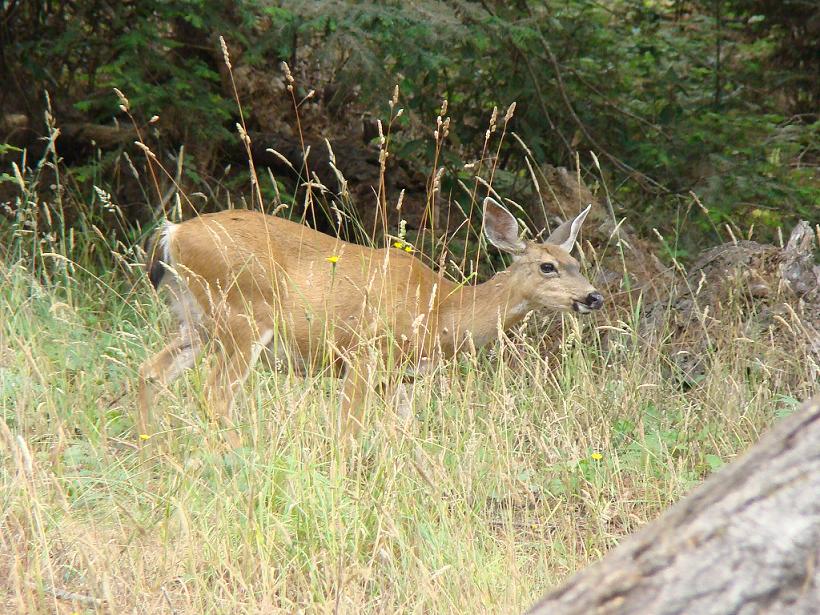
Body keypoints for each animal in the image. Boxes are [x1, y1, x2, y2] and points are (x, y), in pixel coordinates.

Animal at [137, 197, 603, 443]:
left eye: (576, 263)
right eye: (547, 266)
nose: (593, 297)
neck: (440, 311)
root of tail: (173, 232)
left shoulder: (404, 376)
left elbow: (404, 431)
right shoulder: (364, 352)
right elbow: (348, 427)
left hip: (196, 322)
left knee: (151, 371)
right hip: (242, 316)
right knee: (216, 394)